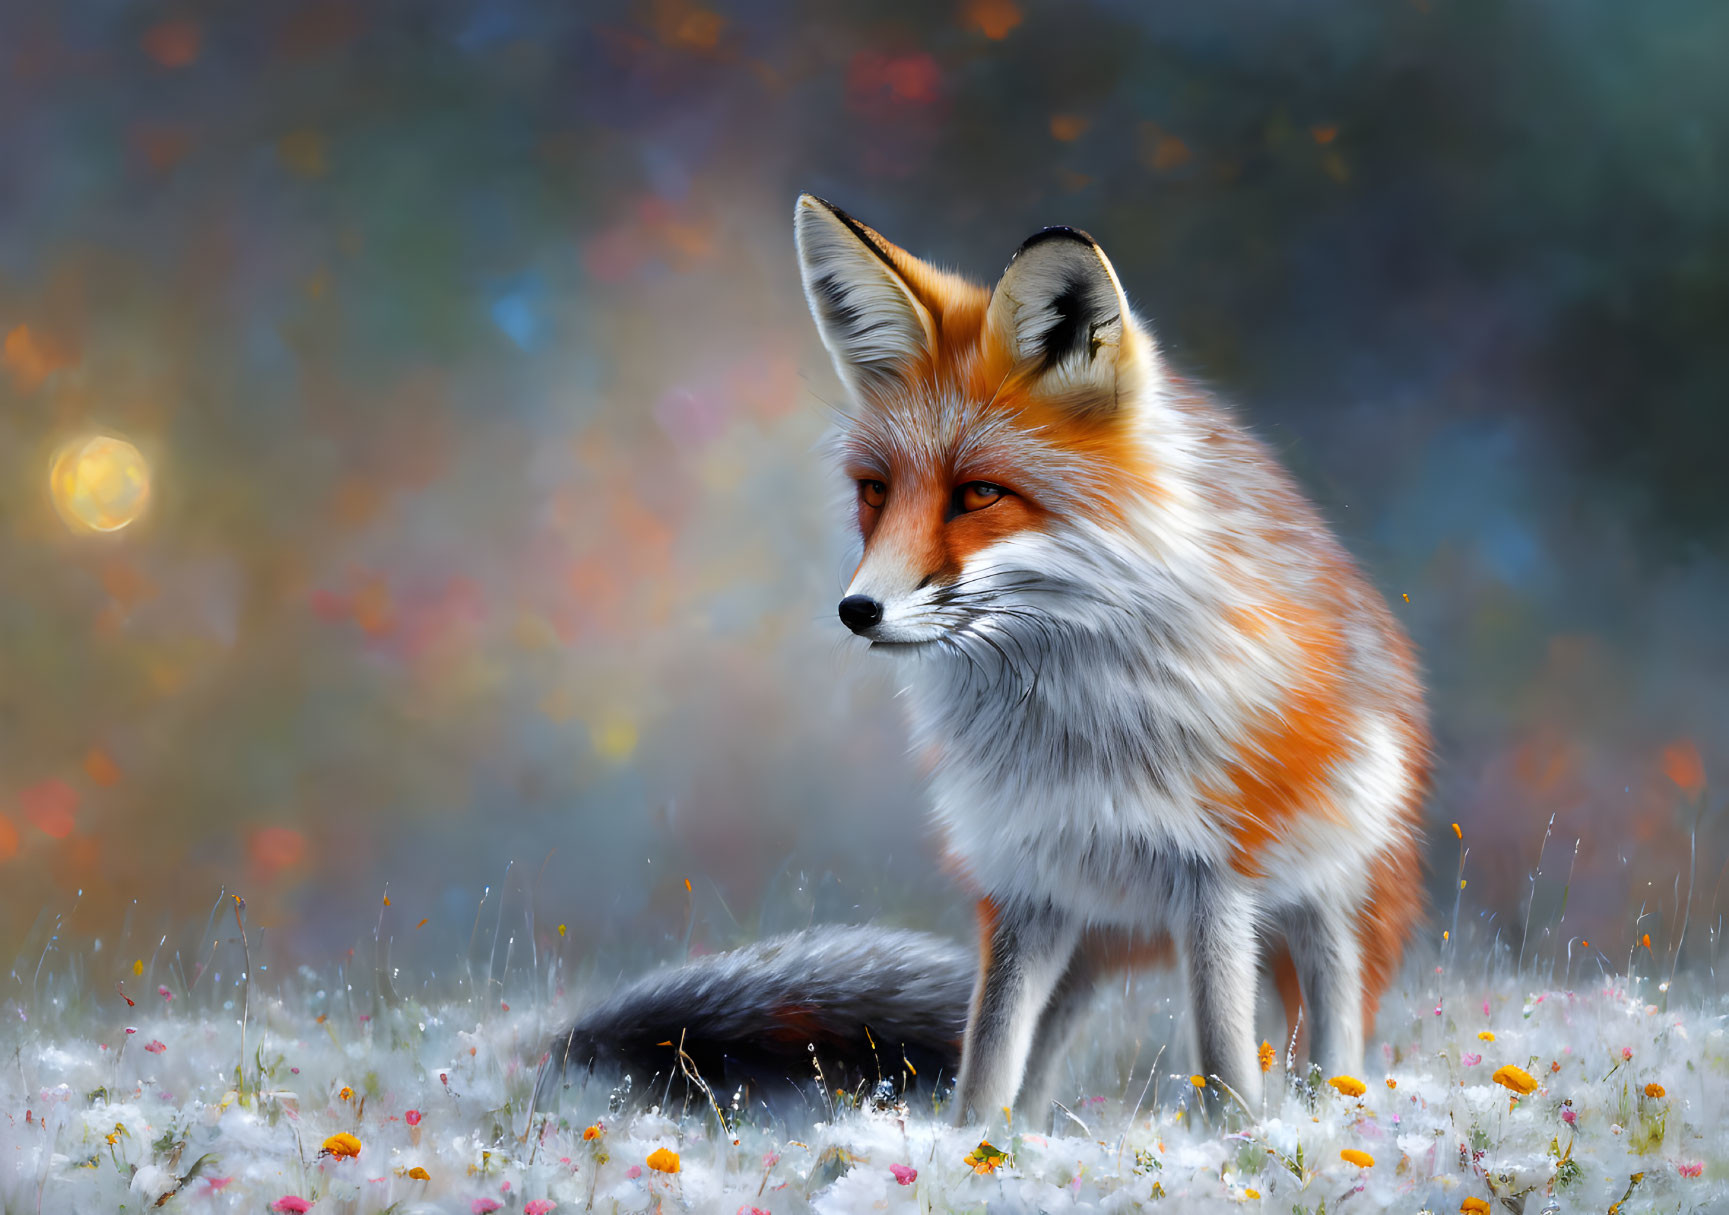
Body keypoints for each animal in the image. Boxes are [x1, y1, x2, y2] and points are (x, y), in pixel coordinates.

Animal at [546, 192, 1424, 1133]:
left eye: (977, 493)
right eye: (876, 490)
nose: (858, 611)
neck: (1072, 728)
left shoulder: (1216, 878)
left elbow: (1225, 1059)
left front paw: (1235, 1142)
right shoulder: (1022, 882)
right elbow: (989, 1056)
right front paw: (972, 1147)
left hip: (1324, 901)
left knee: (1331, 1030)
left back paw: (1336, 1115)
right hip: (1086, 933)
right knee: (1042, 1055)